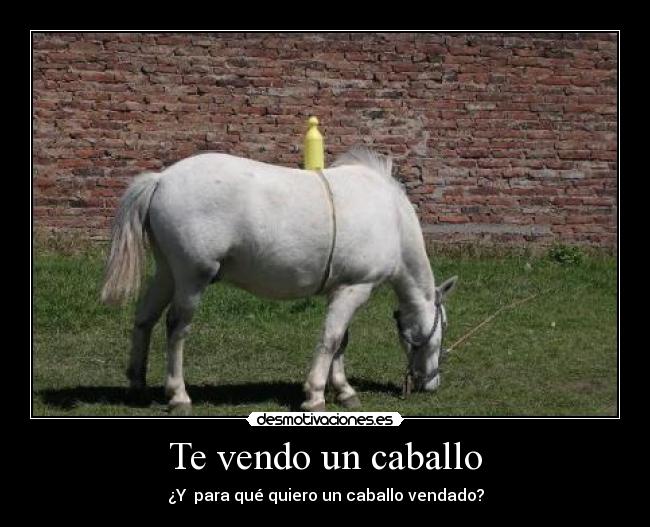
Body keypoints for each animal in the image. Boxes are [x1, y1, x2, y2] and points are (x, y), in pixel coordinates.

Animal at [100, 147, 457, 413]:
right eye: (442, 327)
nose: (431, 383)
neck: (391, 217)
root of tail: (161, 179)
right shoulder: (355, 289)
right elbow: (330, 340)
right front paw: (315, 395)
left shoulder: (341, 289)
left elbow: (341, 341)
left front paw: (343, 391)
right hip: (192, 277)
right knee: (175, 328)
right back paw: (178, 396)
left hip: (167, 273)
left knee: (144, 319)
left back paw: (137, 385)